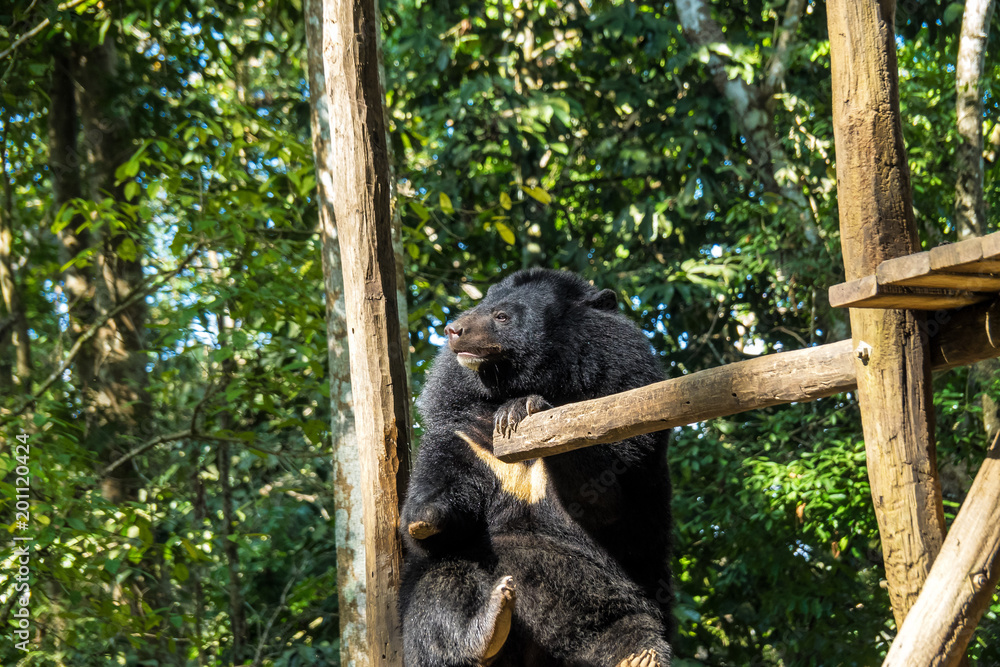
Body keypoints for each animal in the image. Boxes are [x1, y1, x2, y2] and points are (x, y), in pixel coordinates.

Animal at [400, 268, 673, 666]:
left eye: (502, 316)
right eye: (478, 307)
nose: (452, 330)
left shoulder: (624, 398)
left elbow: (609, 496)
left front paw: (525, 408)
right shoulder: (462, 431)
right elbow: (433, 508)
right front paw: (424, 516)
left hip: (619, 602)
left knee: (632, 634)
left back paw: (640, 657)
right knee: (441, 591)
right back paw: (489, 625)